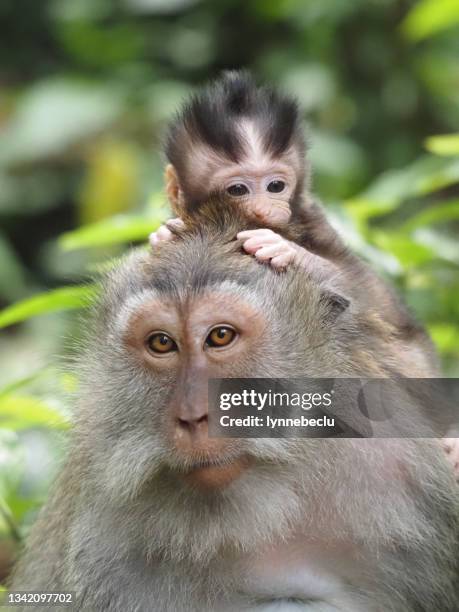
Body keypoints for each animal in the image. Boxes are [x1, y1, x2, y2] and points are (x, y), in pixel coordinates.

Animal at [152, 70, 459, 474]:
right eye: (238, 189)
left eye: (276, 185)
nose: (267, 210)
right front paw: (160, 234)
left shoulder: (315, 222)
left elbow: (363, 291)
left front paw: (285, 249)